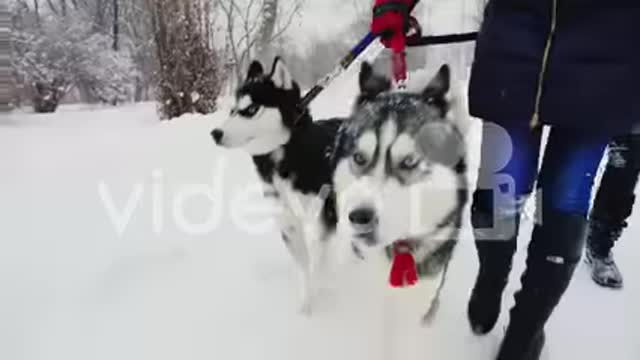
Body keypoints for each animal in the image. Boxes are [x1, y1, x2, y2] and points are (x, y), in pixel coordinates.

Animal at [211, 57, 342, 314]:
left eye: (251, 109)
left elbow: (319, 260)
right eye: (232, 110)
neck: (282, 153)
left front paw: (320, 288)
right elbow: (304, 265)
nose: (215, 133)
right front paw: (305, 305)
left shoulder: (323, 215)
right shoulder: (287, 221)